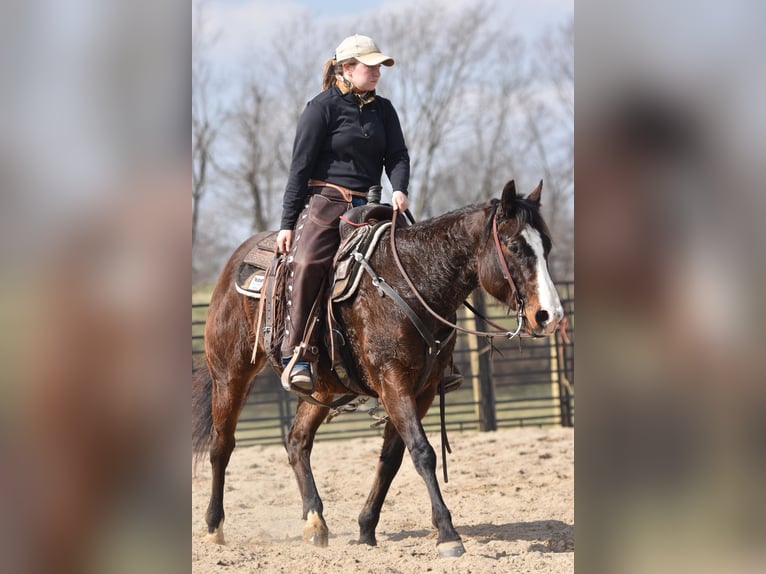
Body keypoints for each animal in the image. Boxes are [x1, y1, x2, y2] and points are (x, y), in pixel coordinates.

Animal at [192, 179, 564, 560]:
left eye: (547, 245)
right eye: (515, 245)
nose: (550, 316)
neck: (408, 282)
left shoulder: (422, 389)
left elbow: (392, 457)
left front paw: (366, 529)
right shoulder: (392, 380)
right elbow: (422, 452)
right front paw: (448, 534)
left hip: (320, 388)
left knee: (297, 441)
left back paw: (315, 522)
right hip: (230, 374)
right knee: (222, 445)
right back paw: (214, 527)